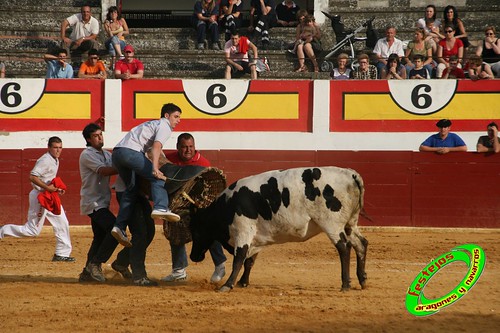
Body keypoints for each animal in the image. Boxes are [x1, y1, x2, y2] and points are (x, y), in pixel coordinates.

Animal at [189, 166, 370, 290]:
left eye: (196, 232)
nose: (193, 256)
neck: (228, 205)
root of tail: (351, 174)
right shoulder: (255, 238)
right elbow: (249, 261)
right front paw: (243, 282)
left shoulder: (243, 232)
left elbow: (239, 259)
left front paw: (228, 285)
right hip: (350, 224)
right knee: (361, 244)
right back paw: (362, 280)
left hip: (332, 224)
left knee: (344, 247)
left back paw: (345, 284)